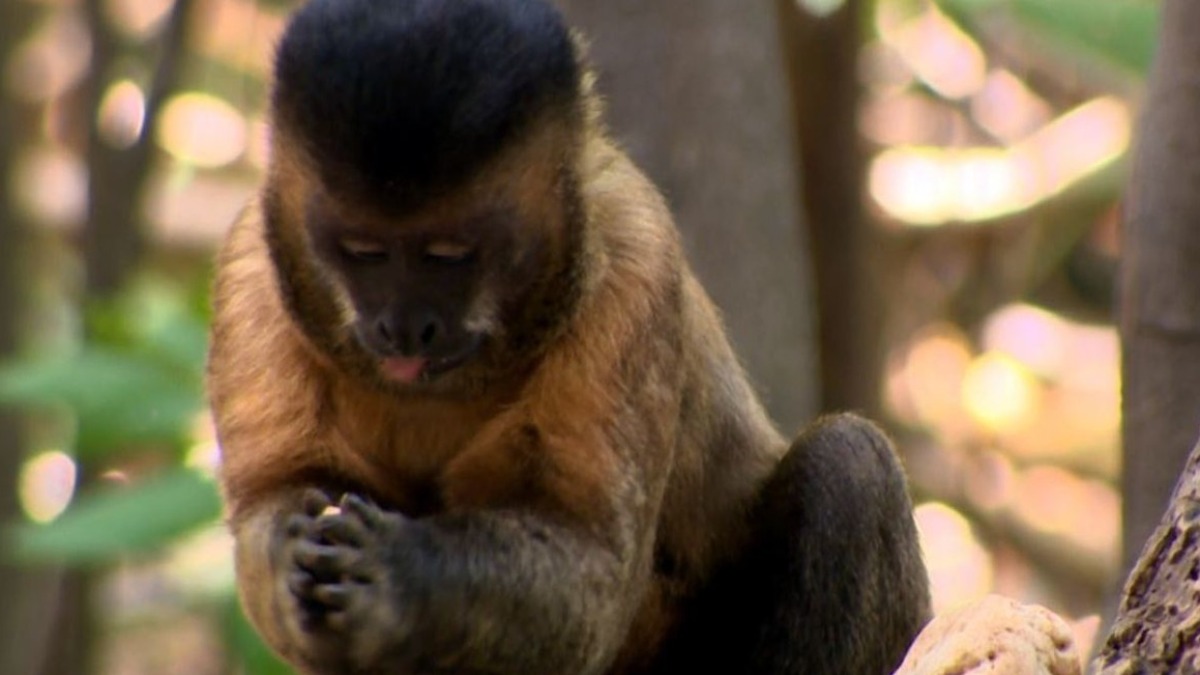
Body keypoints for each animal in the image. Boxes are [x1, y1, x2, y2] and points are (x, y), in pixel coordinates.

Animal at [206, 0, 932, 673]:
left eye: (448, 255)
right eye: (365, 253)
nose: (405, 325)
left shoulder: (637, 255)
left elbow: (592, 572)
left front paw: (401, 575)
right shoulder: (252, 268)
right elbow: (276, 497)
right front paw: (295, 552)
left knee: (851, 463)